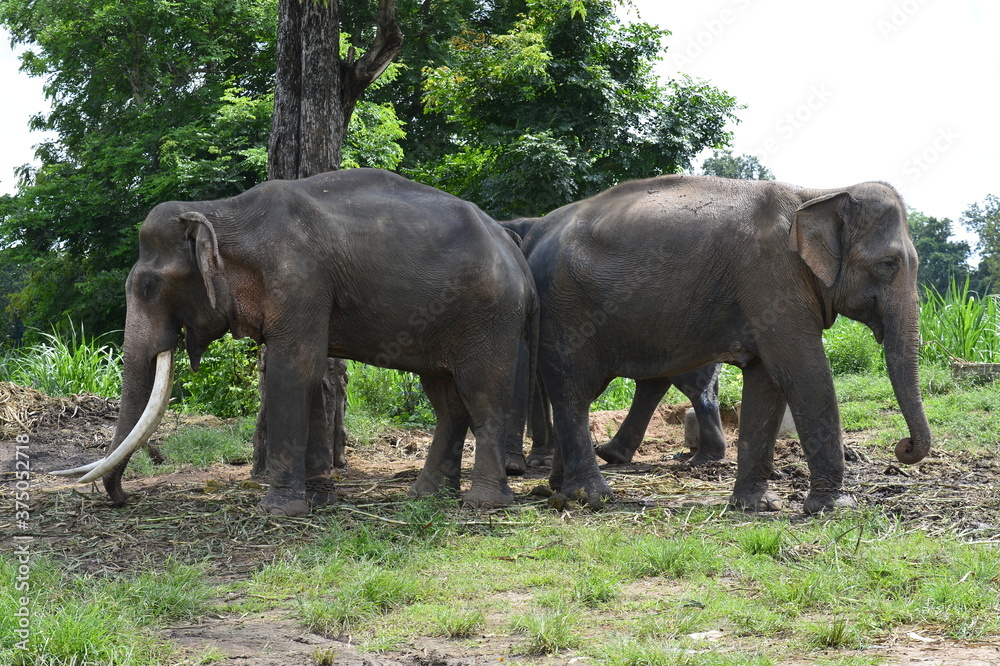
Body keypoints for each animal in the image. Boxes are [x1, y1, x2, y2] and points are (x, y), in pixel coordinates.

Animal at [516, 174, 928, 510]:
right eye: (889, 264)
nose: (904, 447)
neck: (818, 193)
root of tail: (536, 239)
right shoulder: (772, 279)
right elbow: (802, 371)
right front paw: (835, 507)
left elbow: (766, 382)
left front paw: (757, 505)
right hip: (567, 312)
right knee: (572, 389)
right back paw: (592, 497)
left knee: (575, 392)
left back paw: (557, 489)